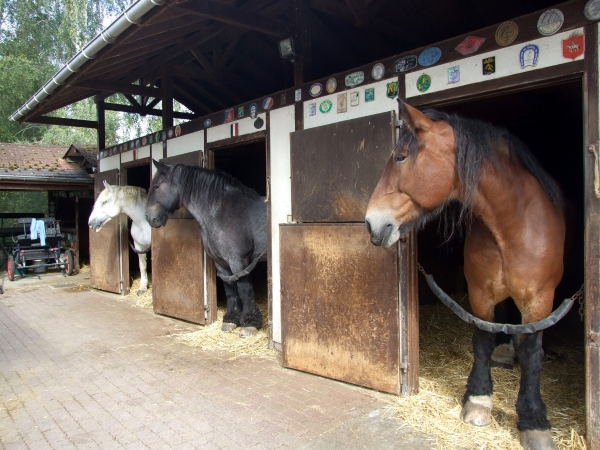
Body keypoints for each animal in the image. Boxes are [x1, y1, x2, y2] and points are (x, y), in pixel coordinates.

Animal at [145, 159, 268, 338]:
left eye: (156, 186)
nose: (149, 217)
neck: (219, 211)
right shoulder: (221, 262)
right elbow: (230, 290)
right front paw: (231, 320)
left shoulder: (239, 262)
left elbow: (245, 290)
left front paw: (250, 324)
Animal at [366, 99, 568, 450]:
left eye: (401, 156)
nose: (370, 223)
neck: (513, 224)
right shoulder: (481, 293)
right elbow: (483, 338)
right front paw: (478, 400)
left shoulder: (540, 301)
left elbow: (532, 355)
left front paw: (534, 421)